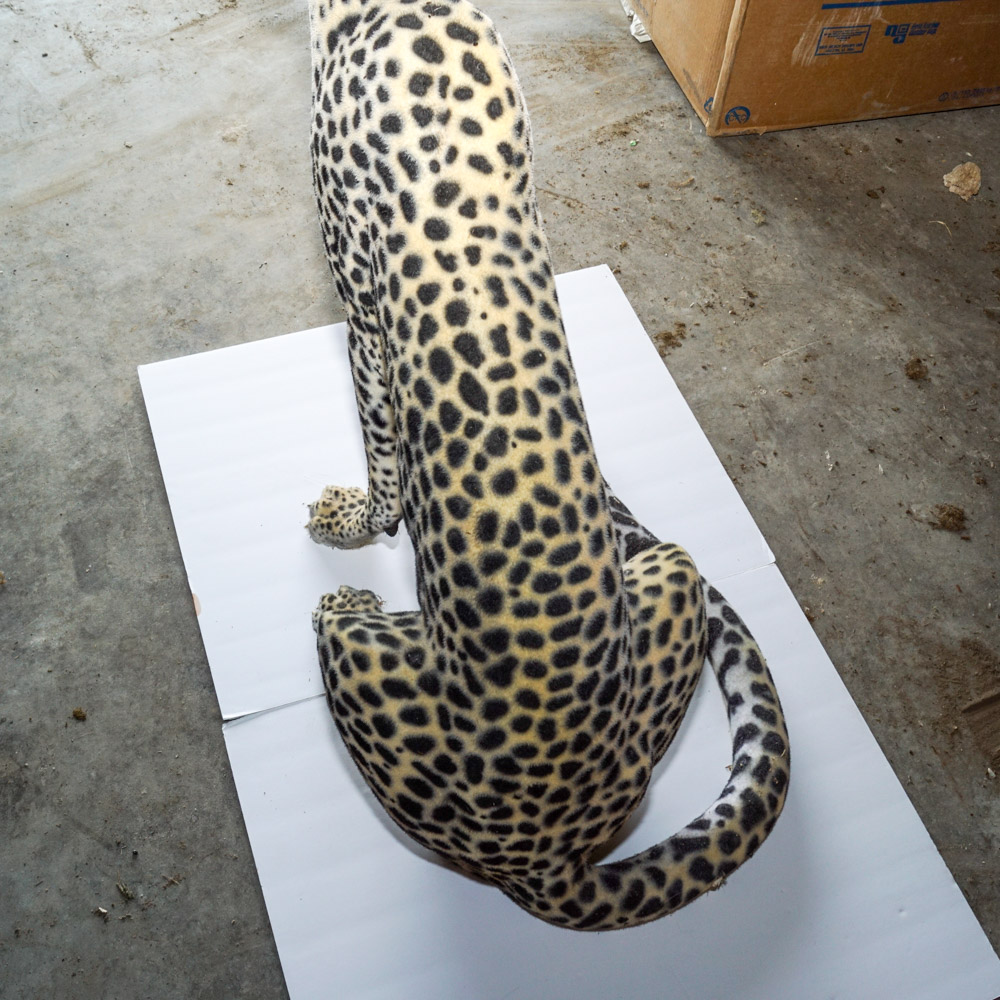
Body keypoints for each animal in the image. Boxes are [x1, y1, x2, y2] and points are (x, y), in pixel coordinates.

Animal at [305, 0, 789, 930]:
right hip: (675, 572)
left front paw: (355, 520)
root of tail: (547, 861)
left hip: (362, 660)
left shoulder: (359, 303)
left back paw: (346, 598)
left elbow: (381, 447)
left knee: (338, 627)